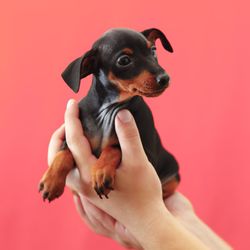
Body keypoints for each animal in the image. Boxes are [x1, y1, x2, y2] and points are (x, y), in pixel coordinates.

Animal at [38, 28, 180, 202]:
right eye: (124, 60)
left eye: (153, 51)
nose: (165, 78)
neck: (109, 108)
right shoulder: (71, 138)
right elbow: (64, 152)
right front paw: (51, 182)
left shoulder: (148, 156)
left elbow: (115, 147)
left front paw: (101, 171)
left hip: (173, 170)